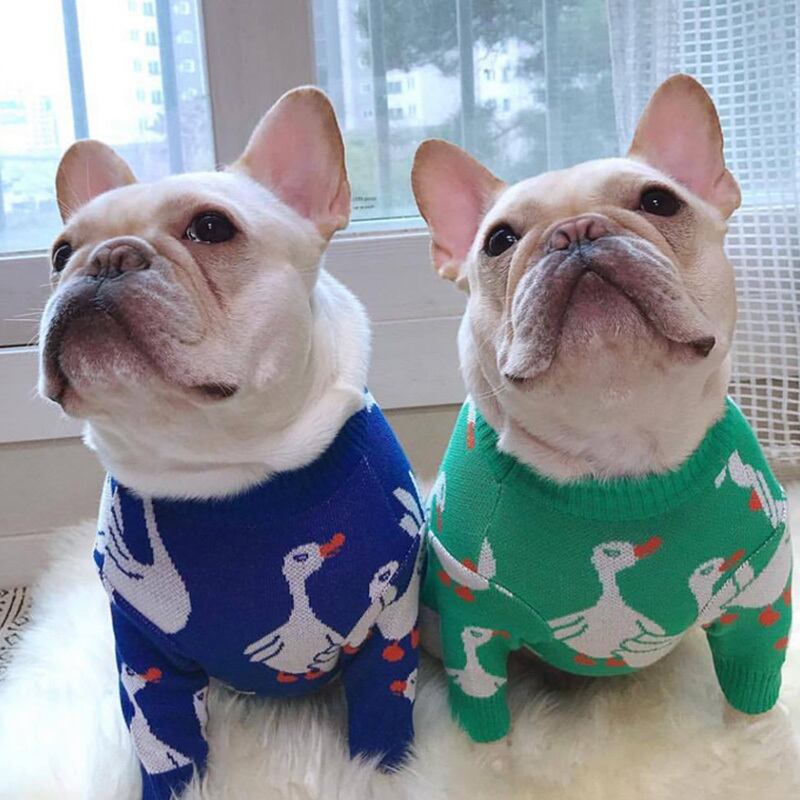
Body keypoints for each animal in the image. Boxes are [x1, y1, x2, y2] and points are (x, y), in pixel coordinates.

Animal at [39, 87, 424, 799]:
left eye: (212, 228)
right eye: (58, 254)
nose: (106, 258)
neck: (220, 470)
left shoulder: (386, 626)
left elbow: (384, 713)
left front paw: (388, 775)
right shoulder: (145, 656)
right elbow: (166, 741)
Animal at [412, 74, 791, 745]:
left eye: (660, 202)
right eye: (499, 241)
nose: (575, 231)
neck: (617, 440)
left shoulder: (762, 596)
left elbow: (751, 682)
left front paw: (749, 738)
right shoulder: (471, 619)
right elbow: (484, 709)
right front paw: (495, 756)